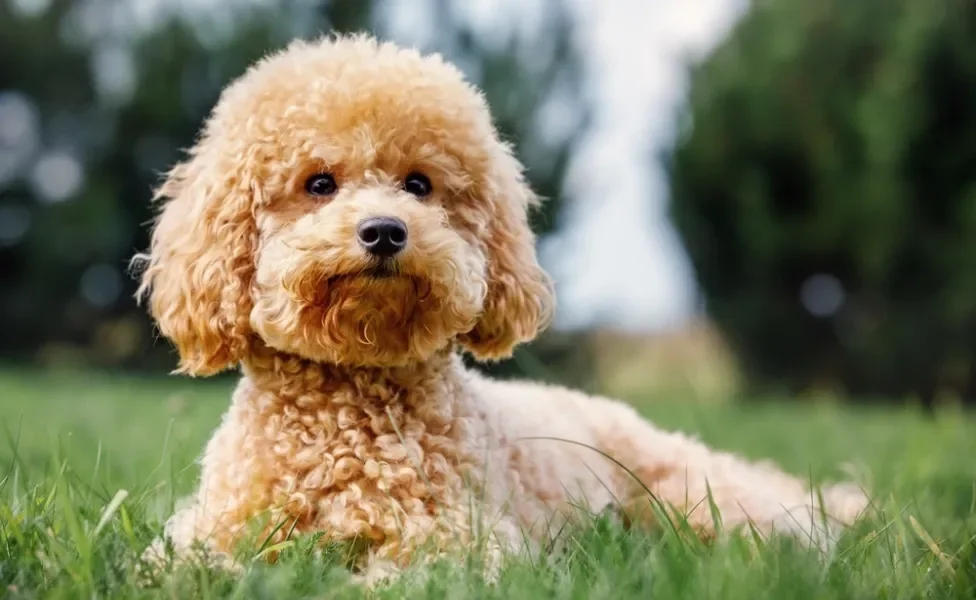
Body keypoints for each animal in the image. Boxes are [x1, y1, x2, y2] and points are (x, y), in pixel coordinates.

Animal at [132, 35, 868, 580]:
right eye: (318, 184)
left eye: (419, 185)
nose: (384, 231)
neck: (347, 405)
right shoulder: (210, 530)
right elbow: (181, 567)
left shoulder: (460, 541)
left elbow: (398, 578)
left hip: (693, 497)